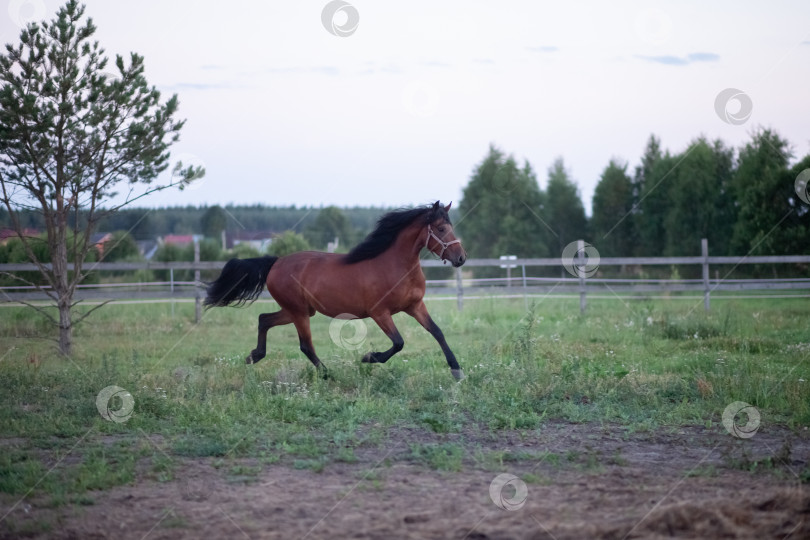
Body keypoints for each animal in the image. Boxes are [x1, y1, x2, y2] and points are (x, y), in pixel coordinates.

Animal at [204, 200, 468, 382]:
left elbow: (437, 332)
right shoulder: (380, 313)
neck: (396, 266)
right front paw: (368, 357)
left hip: (298, 310)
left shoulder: (415, 306)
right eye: (441, 228)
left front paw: (456, 370)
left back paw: (254, 356)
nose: (461, 258)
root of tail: (276, 262)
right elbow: (399, 343)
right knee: (305, 345)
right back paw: (327, 374)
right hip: (299, 312)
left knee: (263, 319)